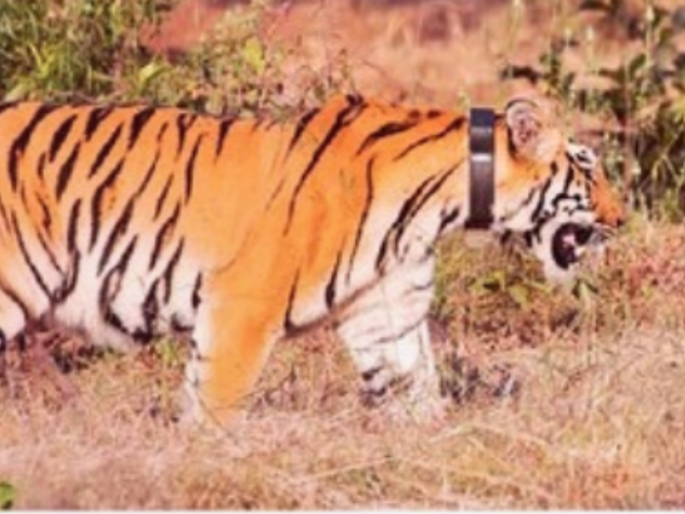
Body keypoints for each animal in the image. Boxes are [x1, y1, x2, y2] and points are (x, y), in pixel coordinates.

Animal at [0, 94, 624, 425]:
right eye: (587, 167)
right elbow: (215, 404)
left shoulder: (386, 312)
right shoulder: (242, 306)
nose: (623, 220)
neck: (439, 205)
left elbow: (416, 389)